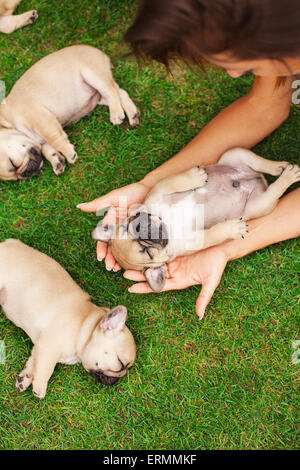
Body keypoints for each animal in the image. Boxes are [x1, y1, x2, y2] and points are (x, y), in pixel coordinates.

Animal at [0, 45, 140, 180]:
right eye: (15, 178)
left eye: (13, 164)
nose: (26, 174)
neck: (8, 122)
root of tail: (98, 52)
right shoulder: (41, 138)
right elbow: (47, 149)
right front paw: (56, 161)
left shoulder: (40, 119)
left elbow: (55, 138)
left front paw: (68, 153)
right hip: (99, 96)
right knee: (120, 91)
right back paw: (132, 114)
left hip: (93, 74)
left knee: (111, 90)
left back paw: (116, 114)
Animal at [0, 241, 136, 398]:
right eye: (120, 364)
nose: (119, 378)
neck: (85, 328)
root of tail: (7, 243)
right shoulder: (48, 346)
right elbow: (46, 368)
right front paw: (40, 387)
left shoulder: (40, 347)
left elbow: (33, 363)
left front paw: (25, 379)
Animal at [92, 149, 300, 292]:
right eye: (148, 254)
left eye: (130, 224)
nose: (143, 229)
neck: (167, 223)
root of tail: (257, 179)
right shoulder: (194, 240)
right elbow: (214, 234)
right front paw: (231, 229)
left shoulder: (159, 190)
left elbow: (176, 181)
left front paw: (195, 177)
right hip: (260, 205)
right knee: (272, 190)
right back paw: (287, 176)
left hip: (235, 154)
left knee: (260, 163)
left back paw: (281, 167)